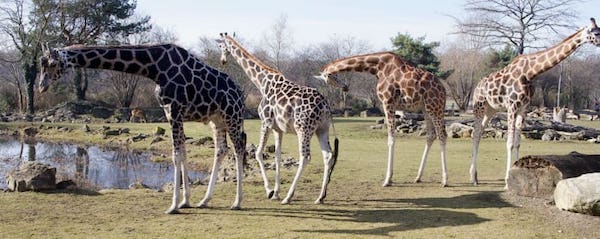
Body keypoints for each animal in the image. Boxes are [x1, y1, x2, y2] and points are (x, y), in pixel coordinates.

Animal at [36, 43, 247, 215]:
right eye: (41, 63)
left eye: (52, 64)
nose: (41, 87)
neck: (154, 68)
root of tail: (240, 92)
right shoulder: (170, 113)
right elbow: (183, 153)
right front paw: (185, 201)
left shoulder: (175, 110)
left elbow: (176, 155)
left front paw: (173, 206)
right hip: (216, 119)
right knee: (221, 149)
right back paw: (204, 200)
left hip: (232, 115)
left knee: (239, 147)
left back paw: (237, 202)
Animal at [217, 32, 340, 204]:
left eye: (220, 45)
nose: (222, 60)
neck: (261, 82)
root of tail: (325, 106)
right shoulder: (278, 129)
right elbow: (277, 156)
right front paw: (275, 192)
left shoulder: (265, 122)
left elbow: (258, 153)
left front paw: (269, 191)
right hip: (321, 129)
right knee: (328, 155)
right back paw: (320, 197)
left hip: (304, 128)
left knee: (305, 157)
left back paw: (289, 197)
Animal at [316, 51, 448, 188]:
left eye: (332, 76)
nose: (345, 87)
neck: (378, 68)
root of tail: (443, 90)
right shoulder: (390, 104)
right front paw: (390, 178)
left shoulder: (387, 102)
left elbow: (391, 139)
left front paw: (387, 179)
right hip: (426, 108)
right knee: (431, 135)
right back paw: (418, 177)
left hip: (435, 106)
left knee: (442, 135)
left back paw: (444, 180)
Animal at [472, 17, 596, 188]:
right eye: (595, 32)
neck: (530, 73)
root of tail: (477, 86)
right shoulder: (512, 107)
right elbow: (510, 142)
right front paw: (506, 181)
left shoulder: (524, 107)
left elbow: (518, 143)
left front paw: (514, 173)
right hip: (479, 107)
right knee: (475, 134)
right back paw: (472, 179)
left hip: (491, 110)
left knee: (479, 133)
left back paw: (475, 177)